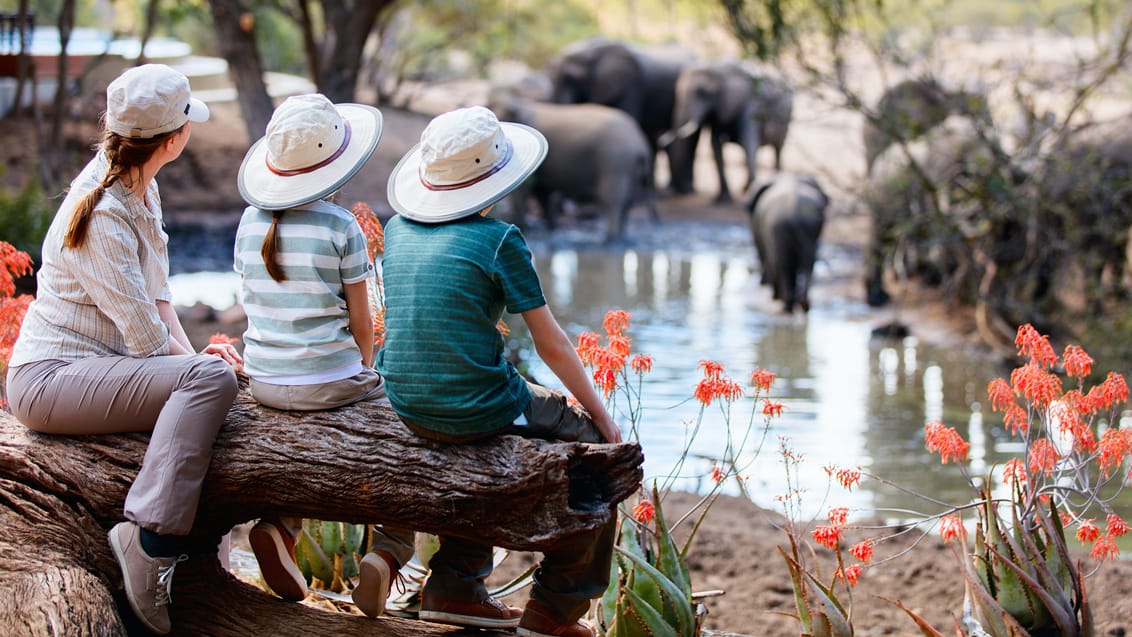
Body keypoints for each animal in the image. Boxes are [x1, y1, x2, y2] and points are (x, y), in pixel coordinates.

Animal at [486, 87, 656, 242]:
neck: (520, 102)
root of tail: (640, 144)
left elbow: (526, 192)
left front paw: (527, 228)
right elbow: (542, 192)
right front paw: (552, 228)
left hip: (615, 161)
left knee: (611, 200)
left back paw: (610, 239)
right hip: (629, 166)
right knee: (628, 201)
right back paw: (620, 236)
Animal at [661, 61, 796, 203]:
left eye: (703, 93)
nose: (661, 140)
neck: (719, 70)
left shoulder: (751, 103)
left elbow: (748, 141)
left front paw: (749, 191)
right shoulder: (718, 112)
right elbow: (715, 147)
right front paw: (723, 199)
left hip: (786, 116)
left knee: (777, 149)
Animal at [747, 174, 828, 314]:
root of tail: (795, 211)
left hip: (779, 228)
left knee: (781, 263)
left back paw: (786, 304)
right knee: (807, 264)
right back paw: (802, 304)